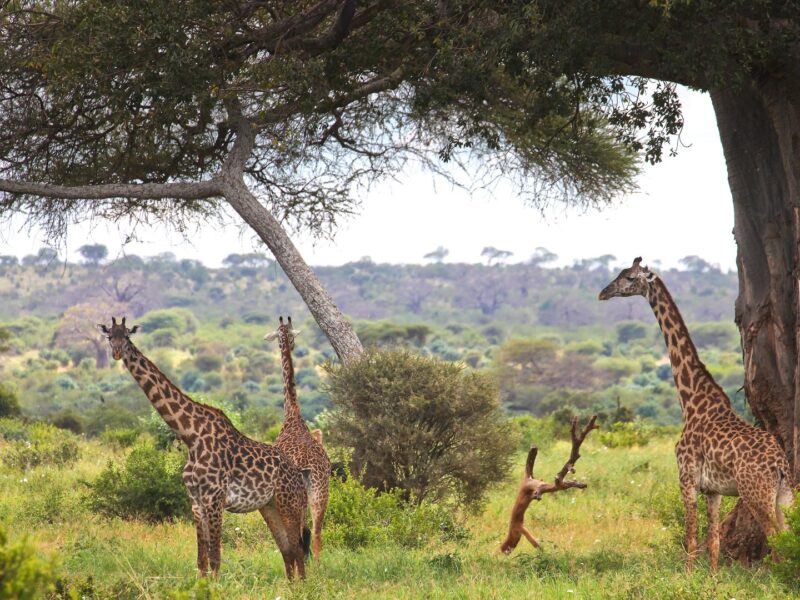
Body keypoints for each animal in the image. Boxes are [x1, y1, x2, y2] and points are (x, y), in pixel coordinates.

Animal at [99, 316, 310, 579]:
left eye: (127, 336)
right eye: (110, 336)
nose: (117, 352)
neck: (191, 436)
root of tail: (299, 475)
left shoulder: (215, 498)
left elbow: (215, 557)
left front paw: (217, 585)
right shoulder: (196, 500)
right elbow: (202, 559)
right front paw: (201, 584)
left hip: (289, 505)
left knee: (298, 548)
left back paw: (303, 585)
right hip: (270, 506)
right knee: (288, 549)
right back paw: (289, 584)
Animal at [265, 316, 331, 561]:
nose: (291, 346)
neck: (292, 412)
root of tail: (307, 466)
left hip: (297, 495)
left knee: (303, 531)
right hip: (321, 490)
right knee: (317, 531)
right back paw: (319, 565)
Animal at [599, 258, 794, 571]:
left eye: (629, 278)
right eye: (619, 273)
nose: (603, 292)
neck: (691, 400)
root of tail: (780, 465)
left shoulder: (686, 478)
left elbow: (690, 538)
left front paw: (688, 576)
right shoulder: (713, 490)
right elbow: (713, 541)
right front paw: (712, 577)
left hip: (756, 494)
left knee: (776, 540)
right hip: (784, 496)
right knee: (787, 535)